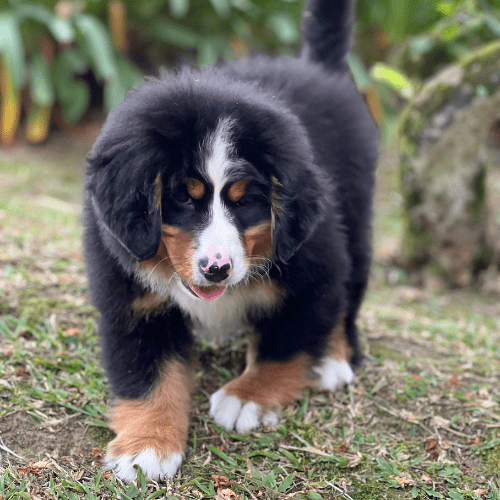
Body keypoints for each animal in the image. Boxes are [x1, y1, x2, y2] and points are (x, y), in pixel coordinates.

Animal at [84, 0, 376, 482]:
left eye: (244, 202)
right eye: (184, 197)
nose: (217, 268)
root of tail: (317, 67)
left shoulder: (312, 269)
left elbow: (285, 342)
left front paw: (247, 397)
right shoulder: (131, 301)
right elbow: (149, 375)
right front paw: (147, 446)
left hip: (355, 218)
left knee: (347, 296)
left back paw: (333, 359)